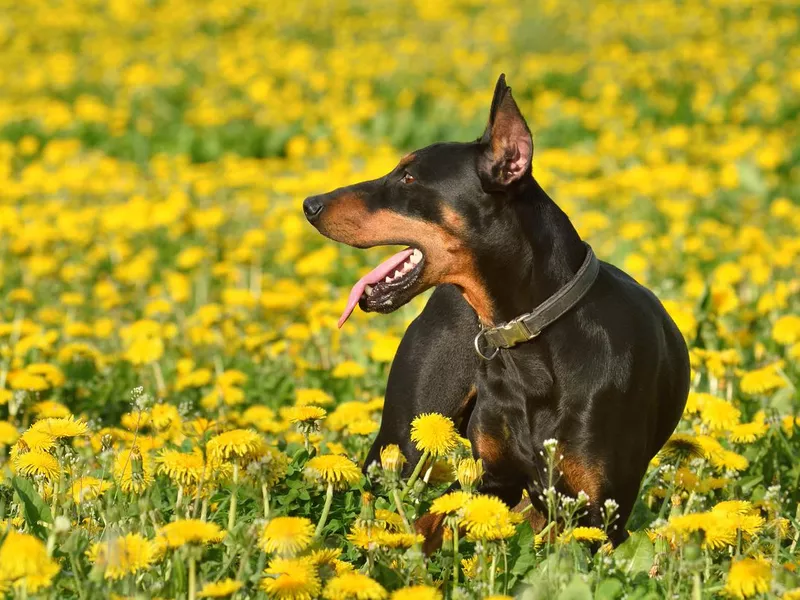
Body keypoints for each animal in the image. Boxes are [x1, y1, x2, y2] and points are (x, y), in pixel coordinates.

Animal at [304, 74, 692, 544]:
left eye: (408, 177)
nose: (309, 205)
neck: (531, 340)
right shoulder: (493, 478)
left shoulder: (599, 513)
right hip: (403, 436)